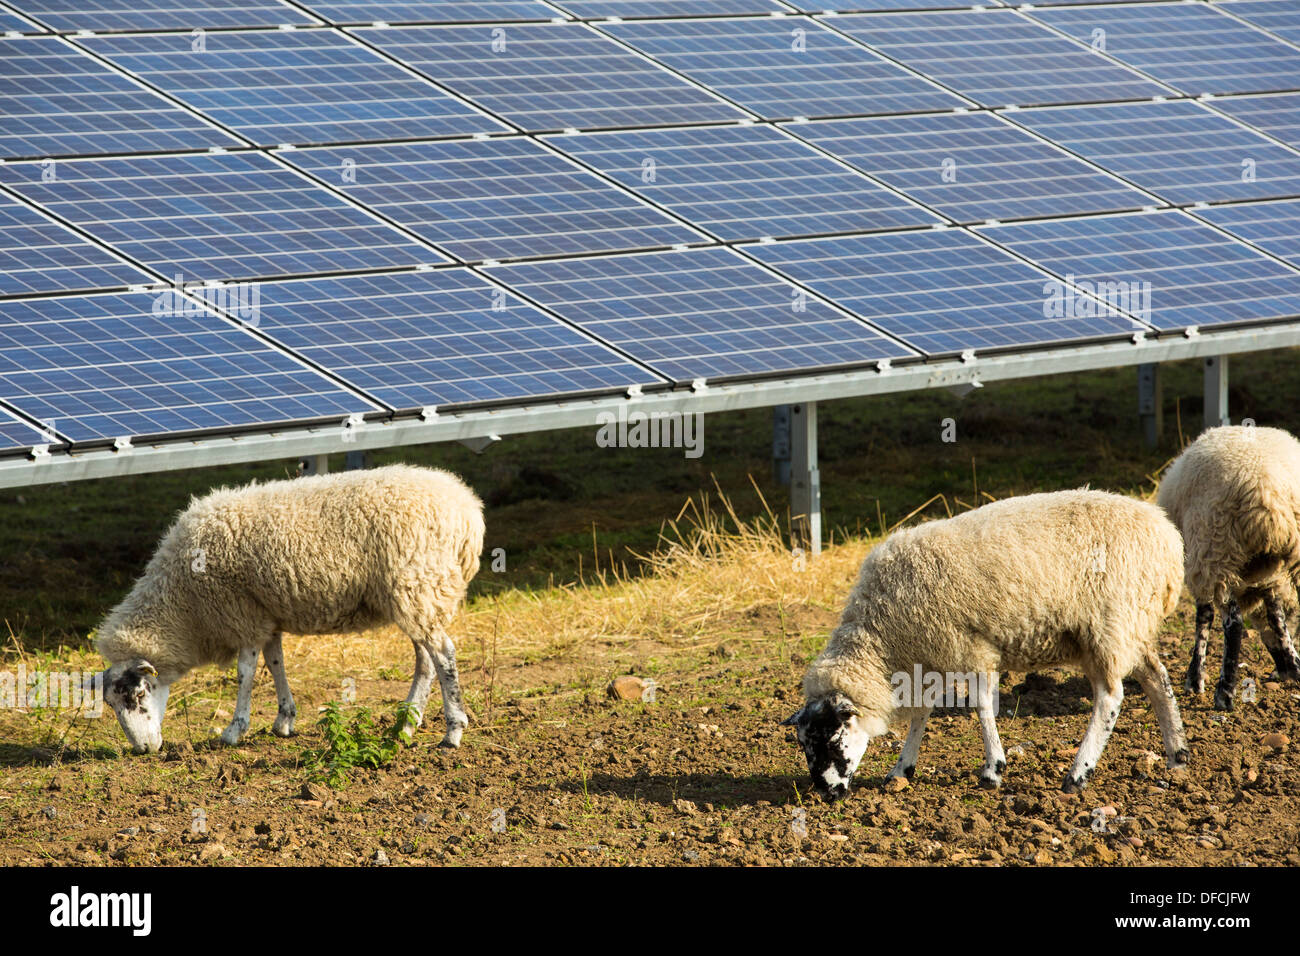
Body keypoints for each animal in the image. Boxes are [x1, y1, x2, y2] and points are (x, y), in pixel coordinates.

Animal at [91, 463, 486, 754]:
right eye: (112, 705)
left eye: (138, 696)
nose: (143, 750)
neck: (182, 603)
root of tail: (468, 510)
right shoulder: (266, 614)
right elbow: (275, 661)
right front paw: (284, 720)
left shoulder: (242, 613)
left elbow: (245, 672)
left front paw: (235, 730)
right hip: (414, 597)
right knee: (426, 660)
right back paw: (406, 725)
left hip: (416, 585)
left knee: (444, 655)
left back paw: (452, 731)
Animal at [780, 489, 1190, 796]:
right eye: (802, 744)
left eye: (831, 740)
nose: (825, 792)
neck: (883, 638)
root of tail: (1167, 537)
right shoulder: (933, 656)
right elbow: (922, 713)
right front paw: (902, 769)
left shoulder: (968, 646)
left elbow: (980, 706)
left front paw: (993, 769)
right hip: (1130, 627)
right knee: (1157, 679)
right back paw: (1177, 755)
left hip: (1107, 625)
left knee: (1110, 697)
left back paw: (1077, 773)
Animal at [1159, 426, 1300, 712]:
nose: (1281, 670)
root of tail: (1268, 495)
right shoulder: (1271, 578)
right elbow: (1276, 616)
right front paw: (1292, 666)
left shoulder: (1199, 560)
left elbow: (1204, 617)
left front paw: (1195, 679)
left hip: (1215, 547)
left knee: (1233, 625)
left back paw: (1224, 693)